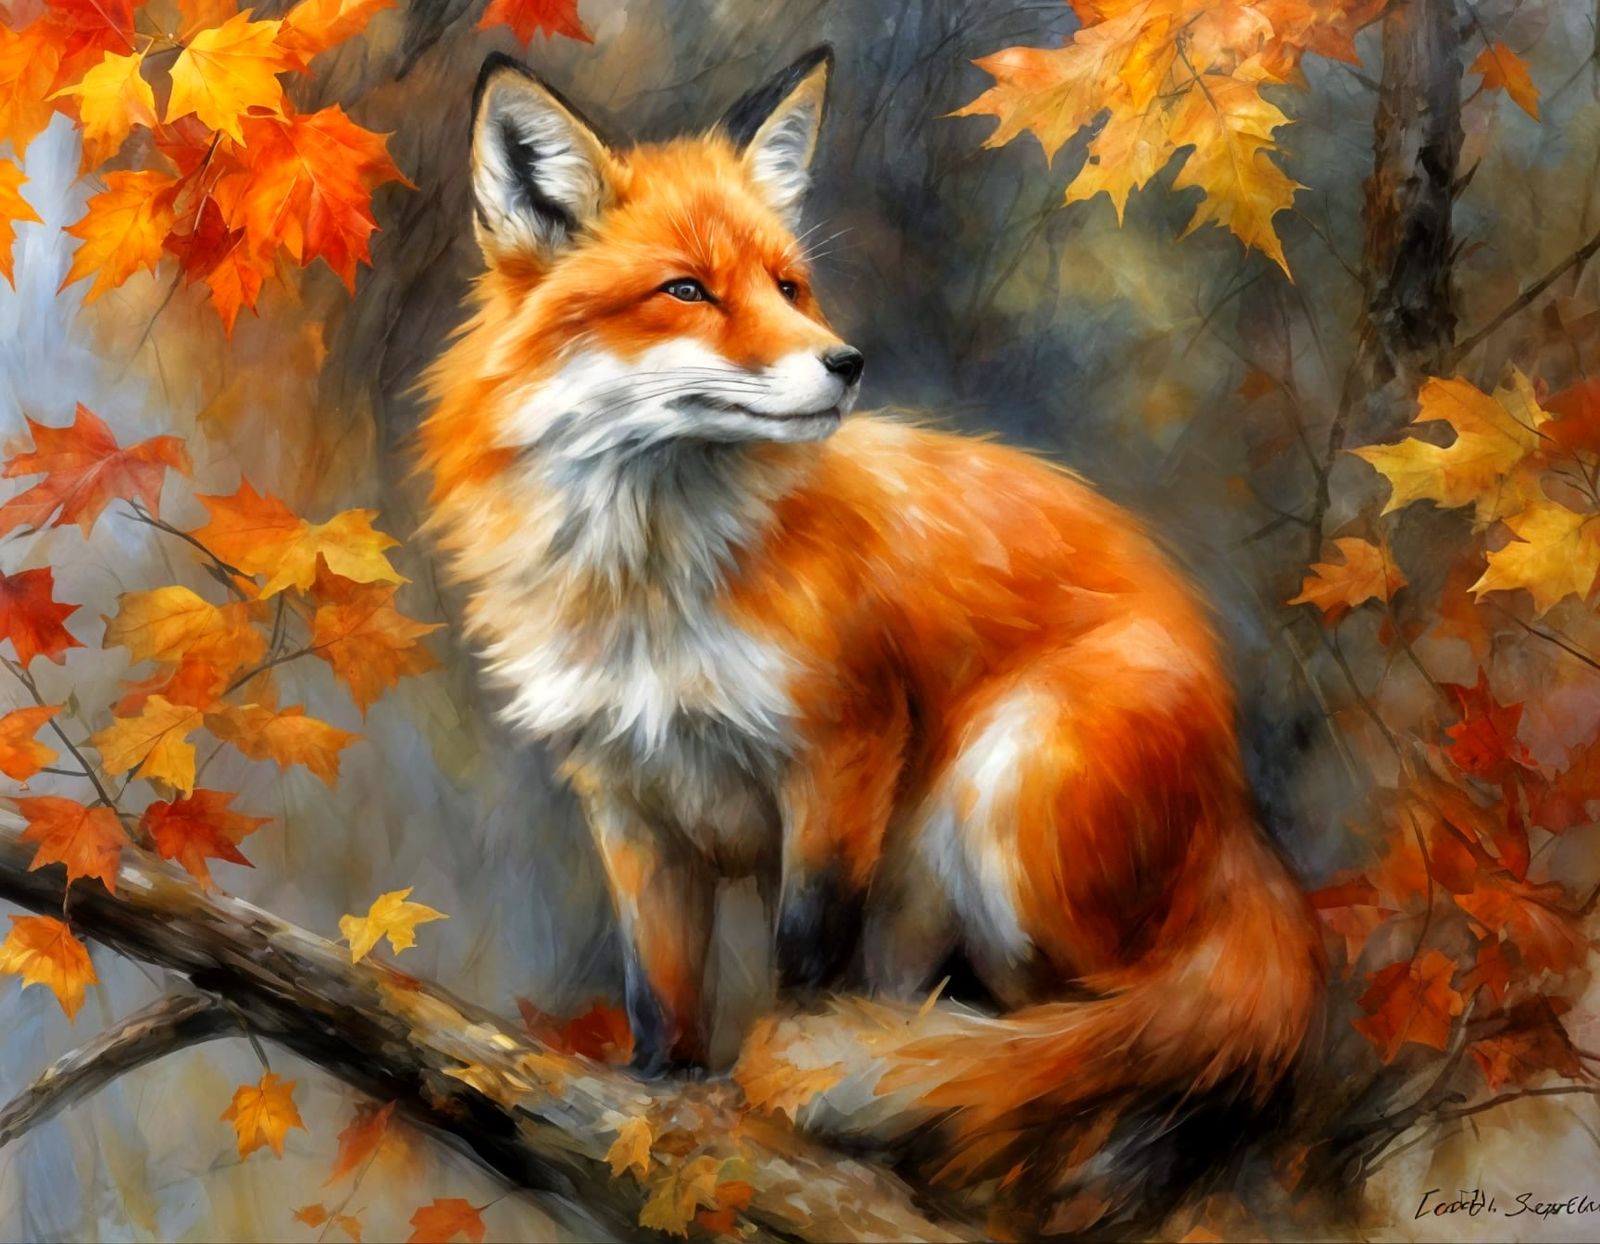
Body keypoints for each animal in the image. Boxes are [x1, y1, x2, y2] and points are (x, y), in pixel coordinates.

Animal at [422, 44, 1325, 1196]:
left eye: (788, 287)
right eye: (686, 290)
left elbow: (806, 956)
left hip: (1002, 798)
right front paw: (657, 1107)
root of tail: (1239, 818)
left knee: (1106, 1028)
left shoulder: (842, 748)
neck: (654, 592)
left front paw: (772, 1104)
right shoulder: (627, 796)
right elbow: (659, 992)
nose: (845, 362)